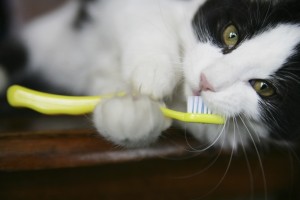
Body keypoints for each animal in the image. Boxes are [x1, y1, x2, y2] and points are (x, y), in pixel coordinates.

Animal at [0, 0, 300, 149]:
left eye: (264, 88)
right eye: (231, 34)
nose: (206, 81)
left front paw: (131, 114)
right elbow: (147, 20)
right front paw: (152, 75)